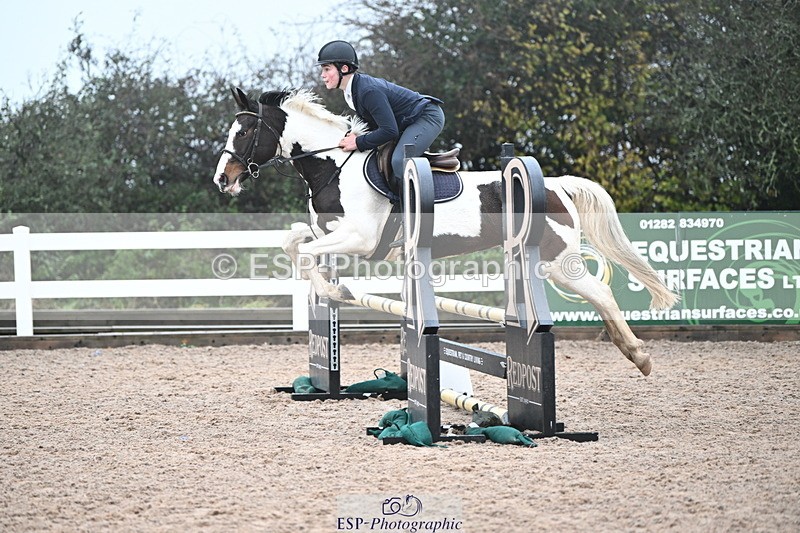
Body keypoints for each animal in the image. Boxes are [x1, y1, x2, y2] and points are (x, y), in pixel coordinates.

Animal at [213, 87, 679, 376]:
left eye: (247, 130)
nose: (222, 179)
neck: (334, 166)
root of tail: (557, 185)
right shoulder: (328, 233)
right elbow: (293, 242)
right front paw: (332, 290)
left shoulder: (361, 241)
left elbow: (308, 254)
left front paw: (337, 291)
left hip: (557, 261)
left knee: (601, 292)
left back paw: (638, 355)